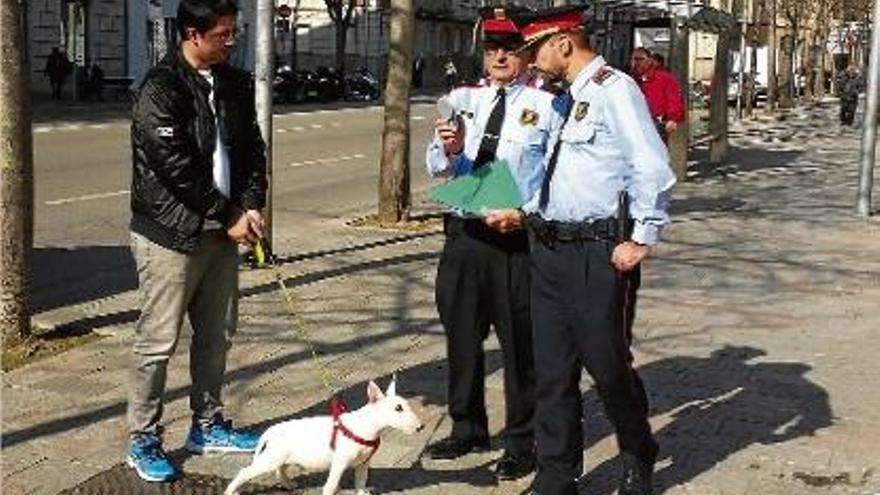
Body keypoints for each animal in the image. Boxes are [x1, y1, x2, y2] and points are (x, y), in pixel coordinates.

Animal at [223, 382, 422, 494]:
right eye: (398, 408)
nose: (421, 427)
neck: (366, 425)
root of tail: (270, 431)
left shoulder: (363, 463)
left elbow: (361, 481)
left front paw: (362, 492)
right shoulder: (340, 462)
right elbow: (331, 486)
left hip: (281, 456)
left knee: (281, 469)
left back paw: (288, 484)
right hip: (270, 459)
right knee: (244, 472)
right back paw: (230, 492)